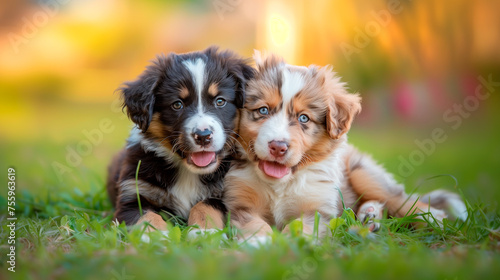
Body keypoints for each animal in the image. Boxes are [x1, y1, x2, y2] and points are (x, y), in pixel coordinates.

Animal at [106, 47, 254, 233]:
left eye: (220, 101)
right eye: (177, 104)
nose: (203, 136)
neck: (188, 172)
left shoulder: (227, 194)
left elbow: (205, 205)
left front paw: (203, 231)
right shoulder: (133, 196)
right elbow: (147, 217)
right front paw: (157, 235)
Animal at [225, 53, 466, 245]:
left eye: (304, 118)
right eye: (263, 110)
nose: (278, 147)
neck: (281, 184)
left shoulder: (318, 208)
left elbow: (300, 227)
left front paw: (288, 243)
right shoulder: (240, 204)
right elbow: (254, 223)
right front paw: (259, 243)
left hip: (363, 172)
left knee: (401, 199)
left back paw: (432, 219)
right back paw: (369, 216)